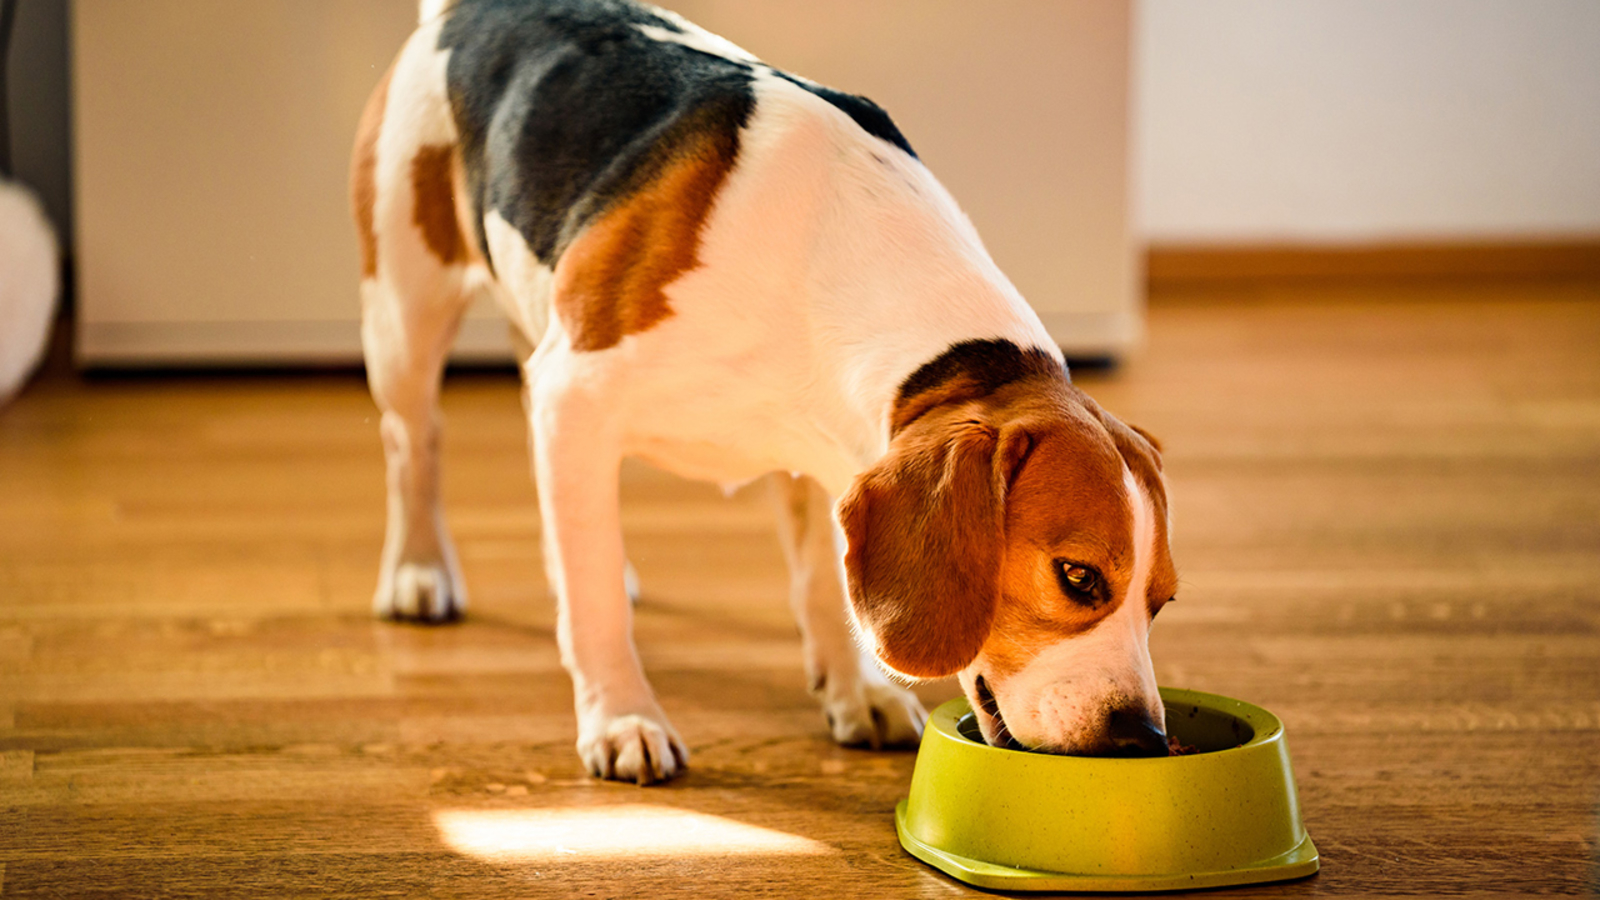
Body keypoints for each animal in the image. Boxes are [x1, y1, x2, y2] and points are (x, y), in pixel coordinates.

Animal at [353, 0, 1177, 781]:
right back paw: (419, 572)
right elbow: (595, 606)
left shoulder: (828, 454)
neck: (829, 259)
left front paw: (856, 691)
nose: (1144, 739)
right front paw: (621, 716)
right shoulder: (577, 393)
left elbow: (822, 584)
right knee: (412, 443)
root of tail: (465, 11)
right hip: (405, 318)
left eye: (1162, 601)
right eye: (1078, 577)